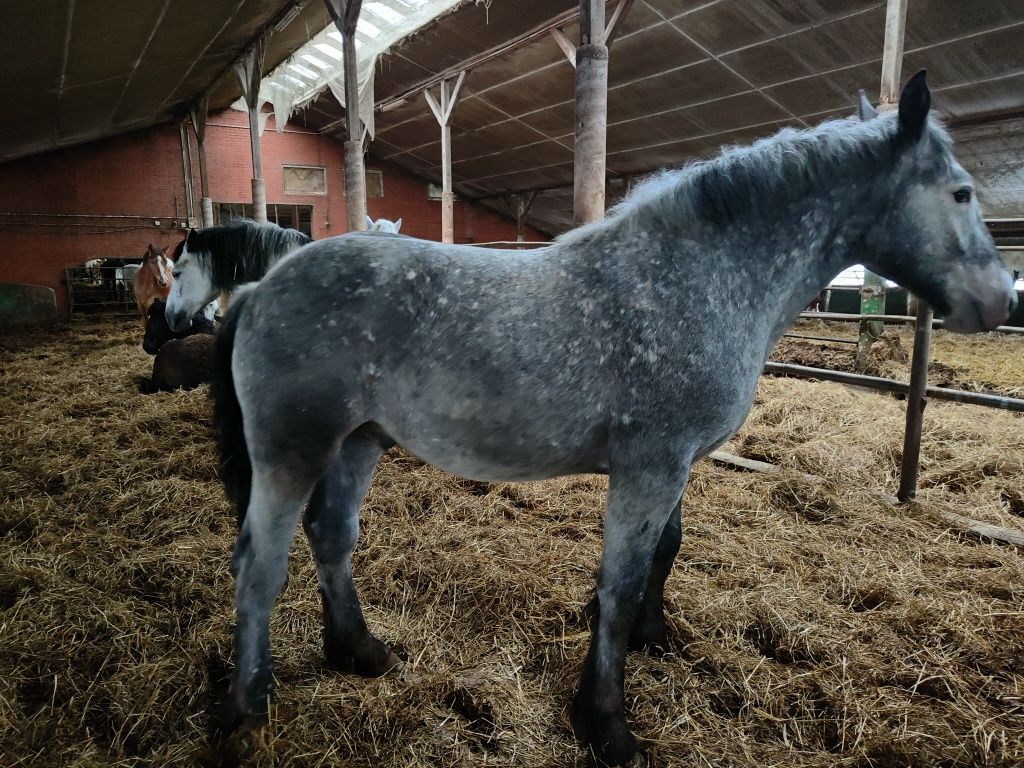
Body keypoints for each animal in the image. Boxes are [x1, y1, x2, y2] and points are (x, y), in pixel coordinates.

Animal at [207, 73, 1015, 768]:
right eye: (960, 191)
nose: (1002, 298)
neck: (697, 277)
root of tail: (260, 287)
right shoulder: (649, 467)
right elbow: (618, 587)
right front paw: (606, 725)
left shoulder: (674, 465)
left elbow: (665, 553)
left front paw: (657, 639)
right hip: (292, 452)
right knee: (260, 564)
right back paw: (251, 708)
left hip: (358, 443)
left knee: (331, 536)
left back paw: (360, 652)